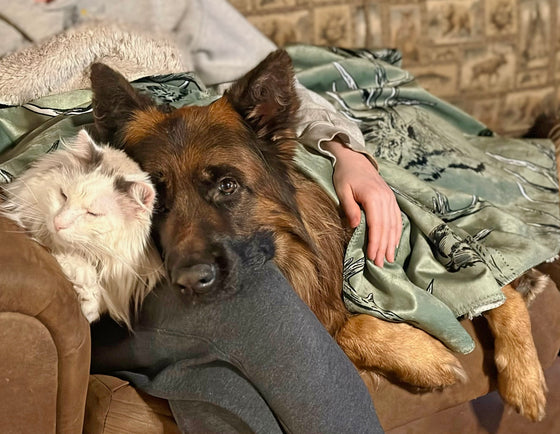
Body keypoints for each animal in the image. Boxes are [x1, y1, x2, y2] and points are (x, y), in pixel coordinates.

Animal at [91, 50, 548, 420]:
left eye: (226, 186)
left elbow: (495, 294)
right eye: (152, 198)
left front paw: (521, 377)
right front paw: (425, 358)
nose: (188, 282)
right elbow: (348, 328)